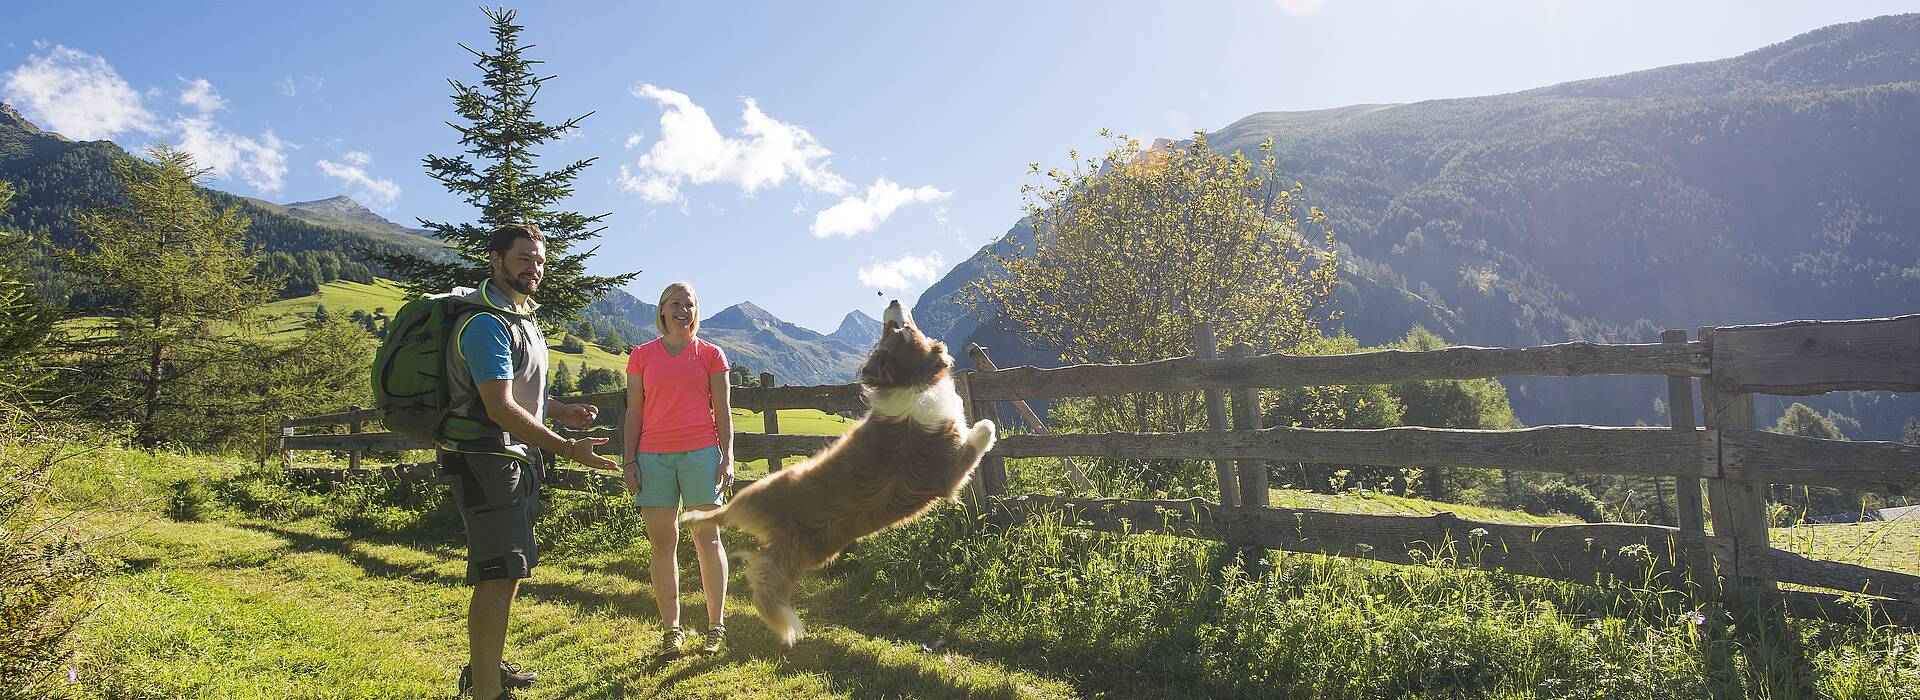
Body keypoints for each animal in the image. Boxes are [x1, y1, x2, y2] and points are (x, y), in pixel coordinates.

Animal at [679, 299, 1006, 644]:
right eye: (899, 329)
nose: (893, 302)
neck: (912, 381)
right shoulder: (952, 469)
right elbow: (983, 431)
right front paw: (987, 427)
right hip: (763, 490)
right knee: (723, 517)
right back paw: (693, 518)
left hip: (800, 552)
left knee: (754, 562)